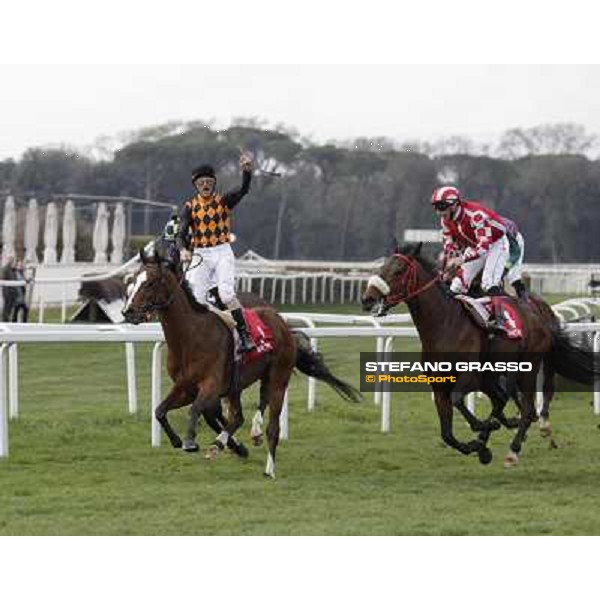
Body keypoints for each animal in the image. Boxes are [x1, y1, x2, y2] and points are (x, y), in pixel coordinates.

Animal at [122, 248, 360, 478]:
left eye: (150, 282)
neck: (190, 337)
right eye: (132, 280)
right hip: (238, 385)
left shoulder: (210, 385)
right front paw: (177, 440)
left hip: (278, 379)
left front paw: (190, 441)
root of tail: (282, 324)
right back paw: (227, 443)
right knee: (239, 416)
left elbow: (196, 408)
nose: (128, 311)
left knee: (272, 427)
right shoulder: (186, 387)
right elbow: (160, 411)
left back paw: (268, 468)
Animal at [360, 244, 596, 468]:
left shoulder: (470, 377)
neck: (444, 324)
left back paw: (513, 448)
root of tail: (538, 316)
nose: (367, 299)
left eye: (398, 271)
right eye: (381, 268)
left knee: (527, 407)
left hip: (526, 368)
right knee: (502, 399)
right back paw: (492, 436)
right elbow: (447, 434)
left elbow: (459, 400)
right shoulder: (439, 385)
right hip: (492, 375)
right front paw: (479, 446)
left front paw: (484, 429)